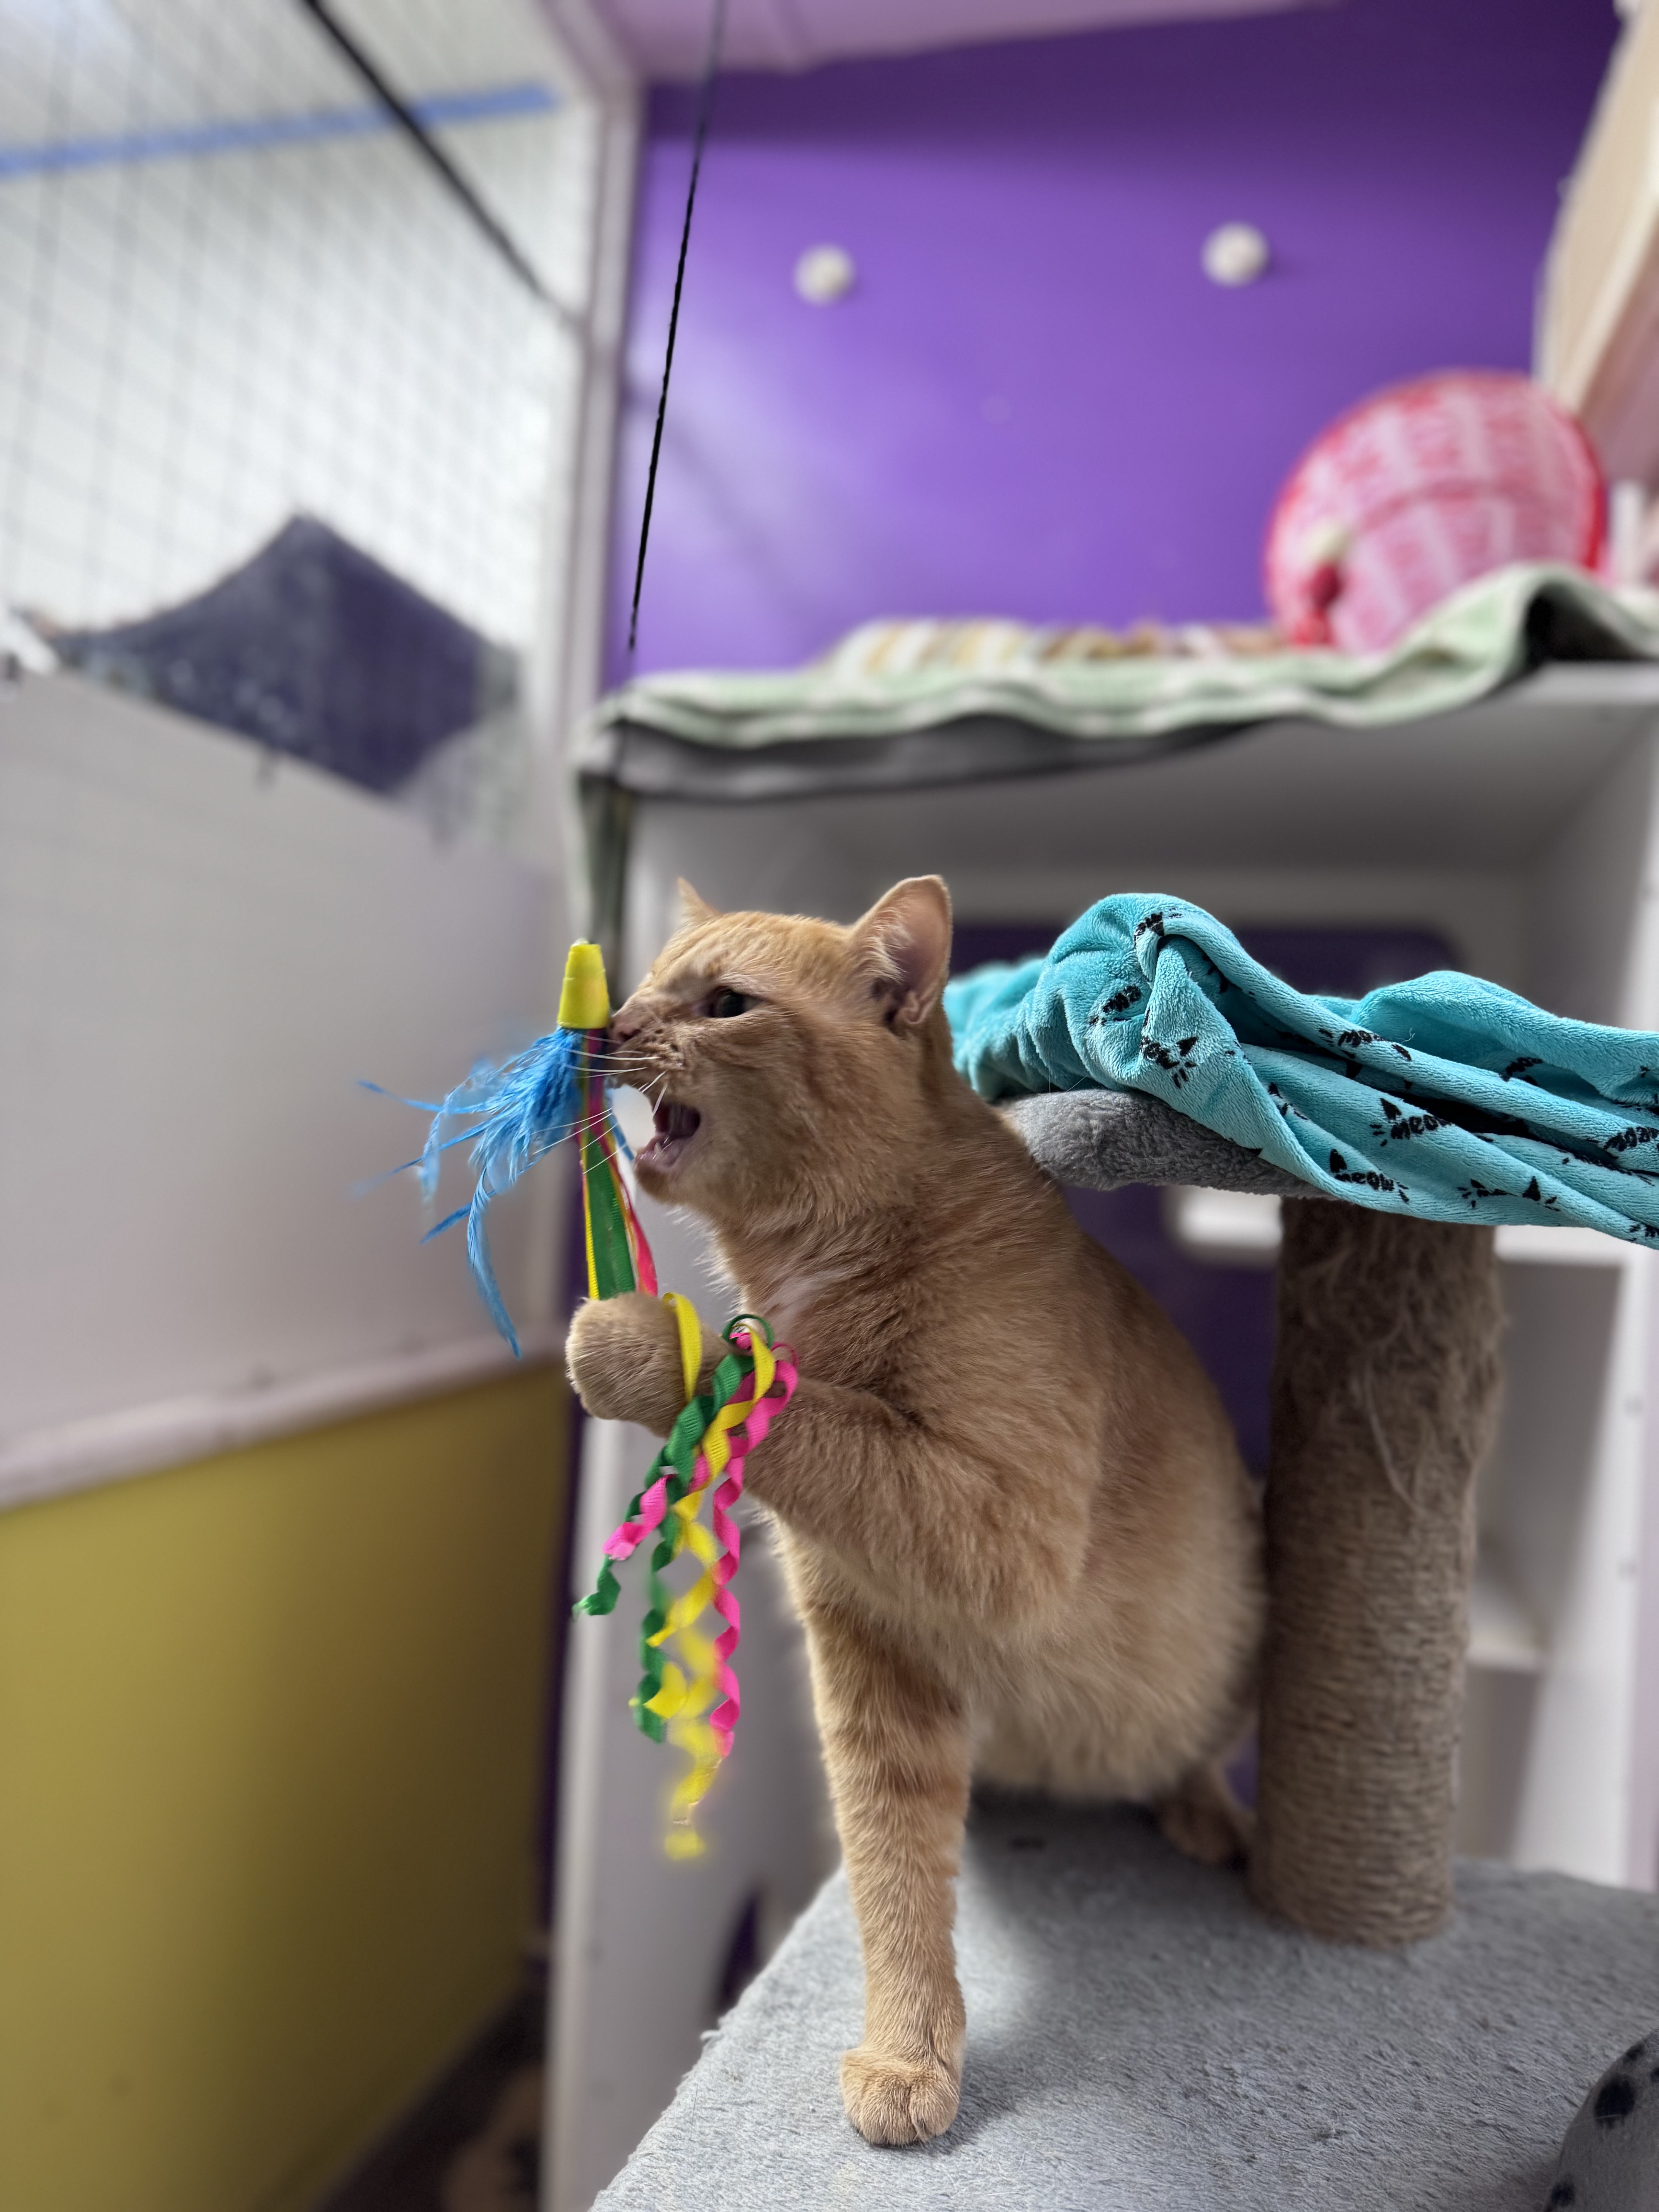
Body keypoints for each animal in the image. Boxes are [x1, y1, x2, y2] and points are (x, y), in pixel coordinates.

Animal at [566, 875, 1264, 2148]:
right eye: (641, 985)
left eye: (726, 1003)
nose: (606, 1028)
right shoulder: (876, 1662)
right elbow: (893, 1875)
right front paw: (910, 2049)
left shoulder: (1000, 1525)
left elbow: (808, 1410)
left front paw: (643, 1345)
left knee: (1192, 1754)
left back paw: (1204, 1816)